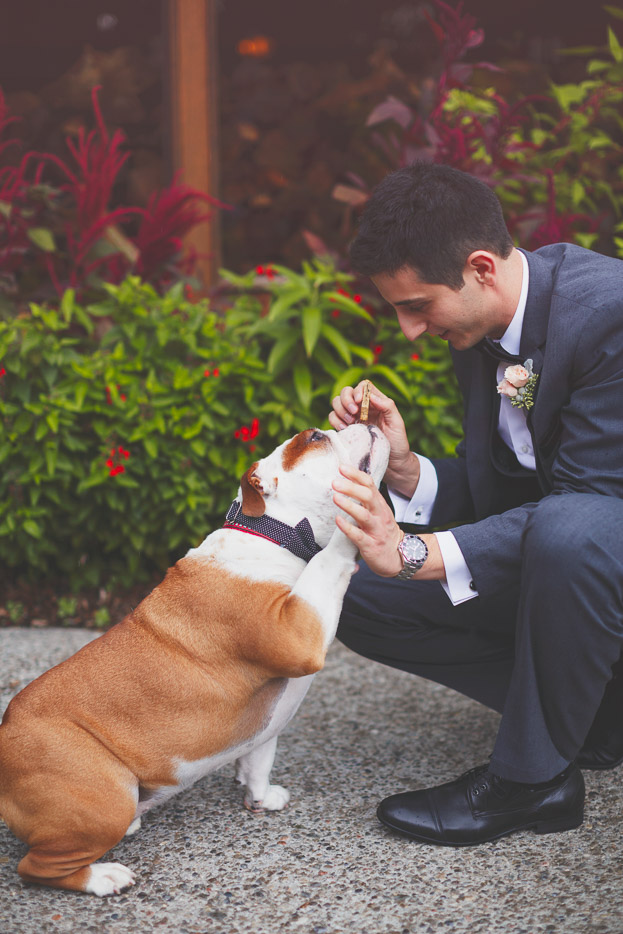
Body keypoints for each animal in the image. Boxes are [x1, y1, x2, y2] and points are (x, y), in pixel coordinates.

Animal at [0, 424, 390, 900]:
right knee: (35, 867)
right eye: (315, 437)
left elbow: (259, 758)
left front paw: (260, 797)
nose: (363, 422)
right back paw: (102, 877)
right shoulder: (299, 633)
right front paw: (359, 512)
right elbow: (332, 554)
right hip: (105, 795)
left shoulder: (268, 723)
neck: (272, 534)